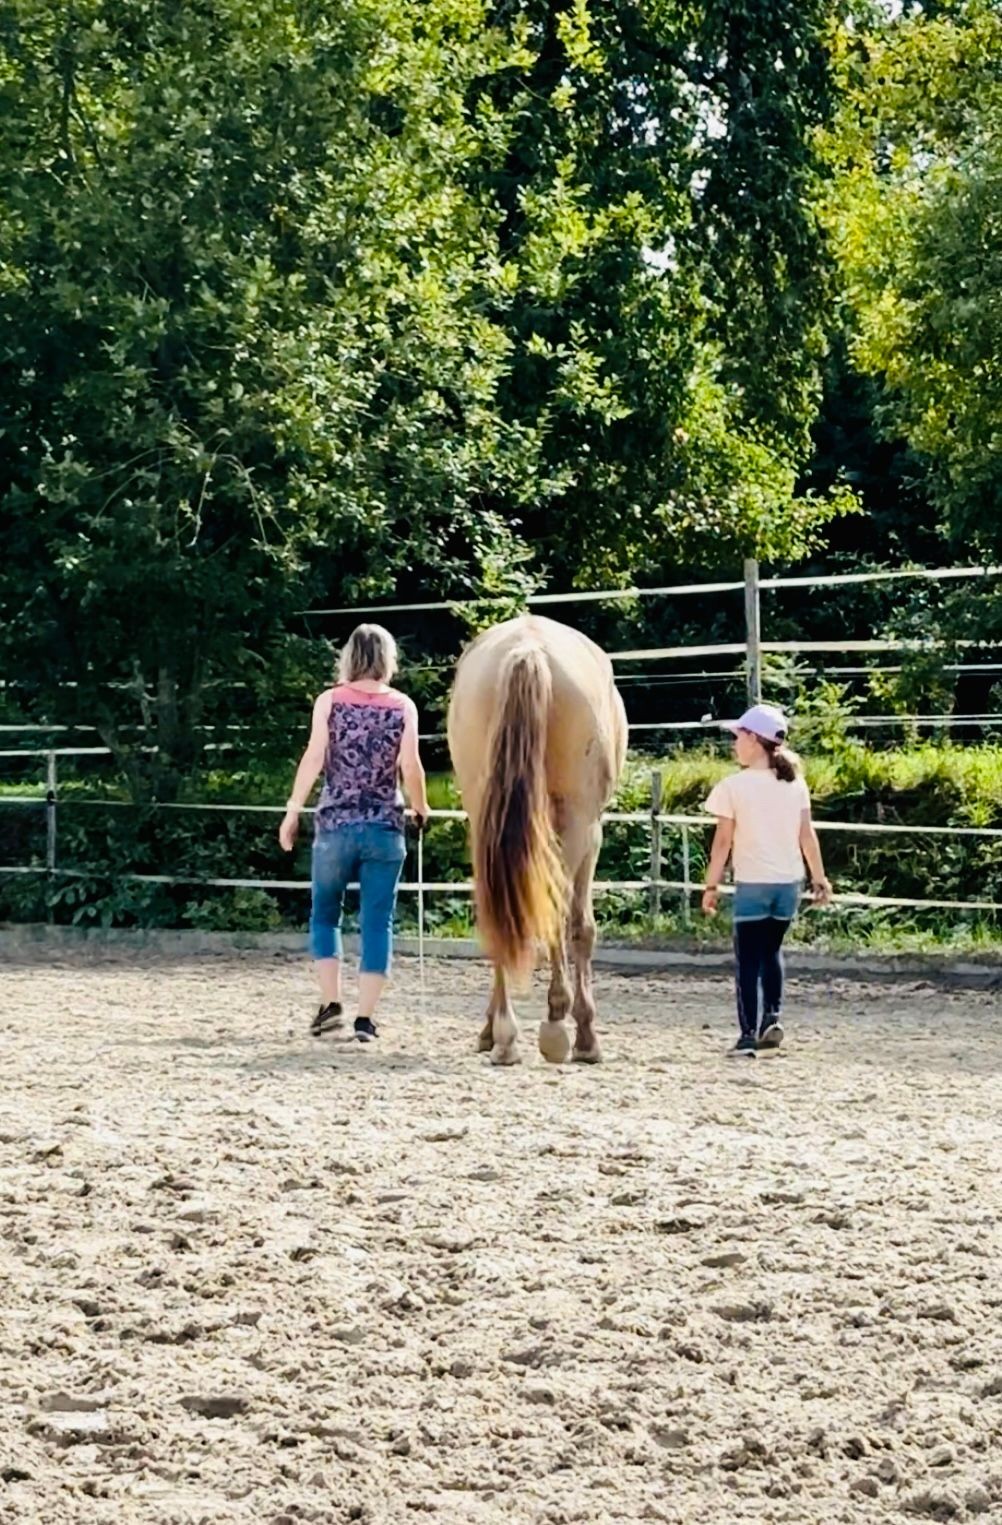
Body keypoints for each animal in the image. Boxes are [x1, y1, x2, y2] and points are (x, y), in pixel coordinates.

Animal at [448, 613, 625, 1067]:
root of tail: (527, 650)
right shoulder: (589, 833)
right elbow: (577, 924)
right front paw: (572, 1028)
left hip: (484, 822)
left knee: (496, 913)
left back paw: (504, 1035)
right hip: (580, 825)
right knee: (568, 917)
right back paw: (565, 1030)